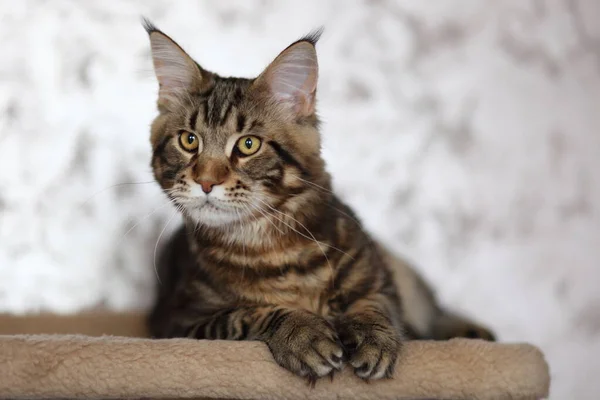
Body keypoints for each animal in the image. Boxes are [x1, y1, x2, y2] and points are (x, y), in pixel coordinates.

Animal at [143, 20, 494, 382]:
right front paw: (303, 333)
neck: (270, 246)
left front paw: (374, 339)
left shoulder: (379, 280)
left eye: (248, 145)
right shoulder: (181, 321)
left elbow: (372, 305)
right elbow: (249, 313)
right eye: (189, 140)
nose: (206, 182)